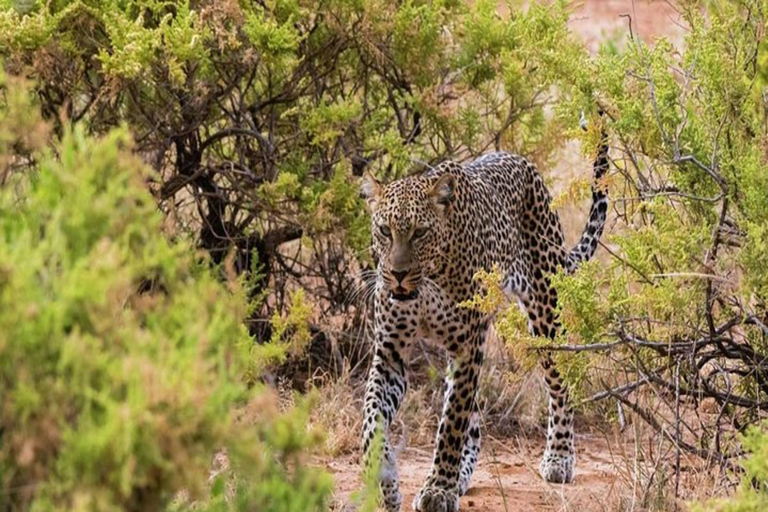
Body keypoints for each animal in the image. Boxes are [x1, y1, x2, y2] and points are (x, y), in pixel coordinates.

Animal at [356, 118, 608, 512]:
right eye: (384, 230)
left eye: (420, 233)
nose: (396, 273)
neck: (429, 279)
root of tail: (524, 162)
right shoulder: (390, 352)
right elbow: (371, 419)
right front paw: (386, 485)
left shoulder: (466, 345)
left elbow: (451, 425)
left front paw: (437, 489)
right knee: (472, 417)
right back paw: (462, 475)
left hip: (545, 312)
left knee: (558, 383)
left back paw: (559, 457)